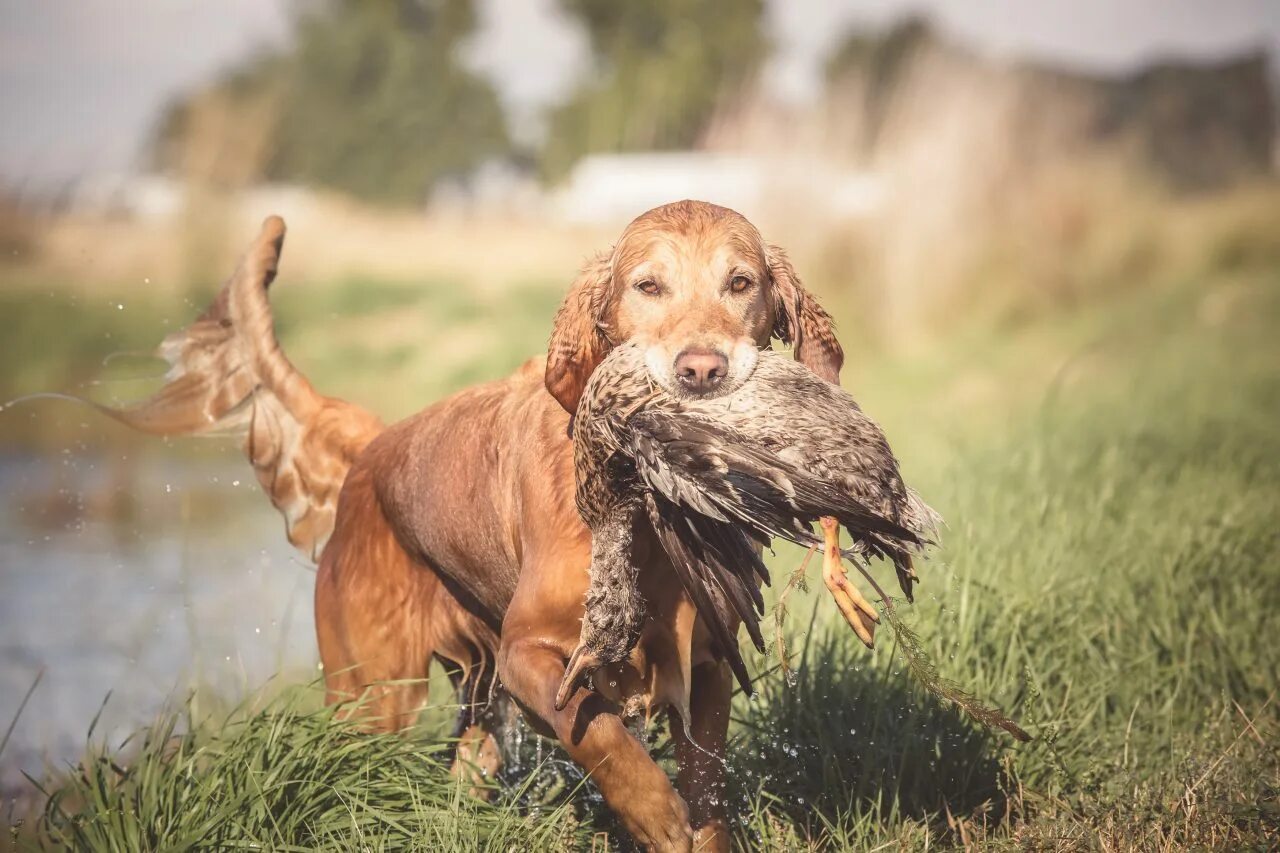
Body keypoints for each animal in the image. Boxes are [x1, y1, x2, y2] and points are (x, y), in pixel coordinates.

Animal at [112, 201, 839, 850]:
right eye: (648, 286)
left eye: (740, 283)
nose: (702, 370)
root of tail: (373, 447)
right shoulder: (528, 652)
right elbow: (597, 730)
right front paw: (655, 810)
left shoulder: (709, 661)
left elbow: (709, 791)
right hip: (371, 692)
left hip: (475, 701)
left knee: (464, 771)